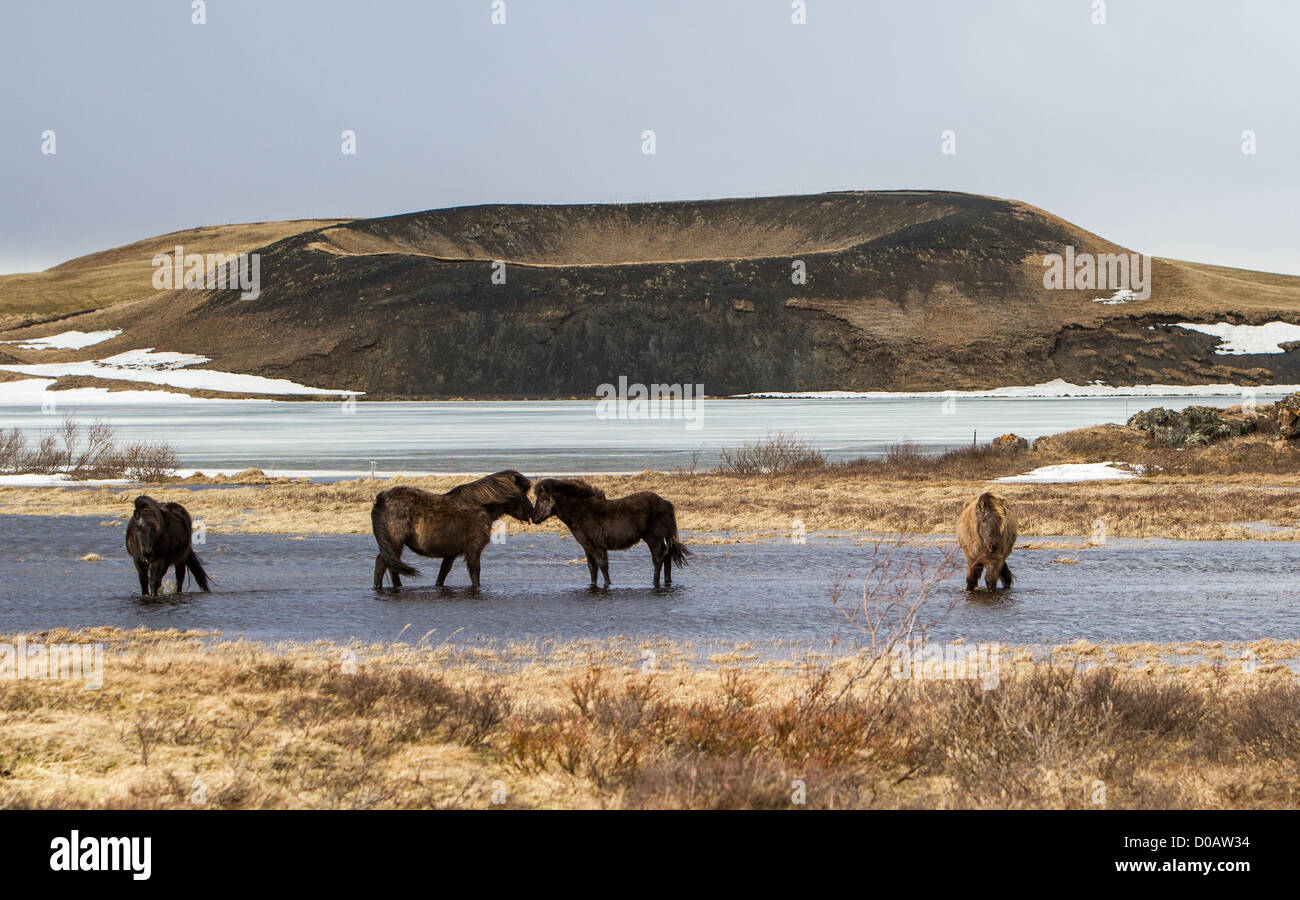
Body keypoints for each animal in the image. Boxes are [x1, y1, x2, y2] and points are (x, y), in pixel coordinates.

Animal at [369, 470, 530, 590]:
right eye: (522, 493)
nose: (531, 512)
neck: (482, 505)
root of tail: (381, 499)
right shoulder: (473, 551)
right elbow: (475, 576)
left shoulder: (451, 554)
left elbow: (442, 575)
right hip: (394, 543)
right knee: (381, 564)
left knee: (392, 567)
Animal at [527, 478, 691, 590]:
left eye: (543, 499)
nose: (533, 518)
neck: (582, 512)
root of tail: (666, 503)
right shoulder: (587, 547)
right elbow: (592, 568)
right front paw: (593, 585)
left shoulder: (599, 546)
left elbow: (603, 566)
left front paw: (608, 585)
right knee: (667, 558)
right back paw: (667, 581)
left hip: (654, 539)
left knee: (658, 560)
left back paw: (655, 583)